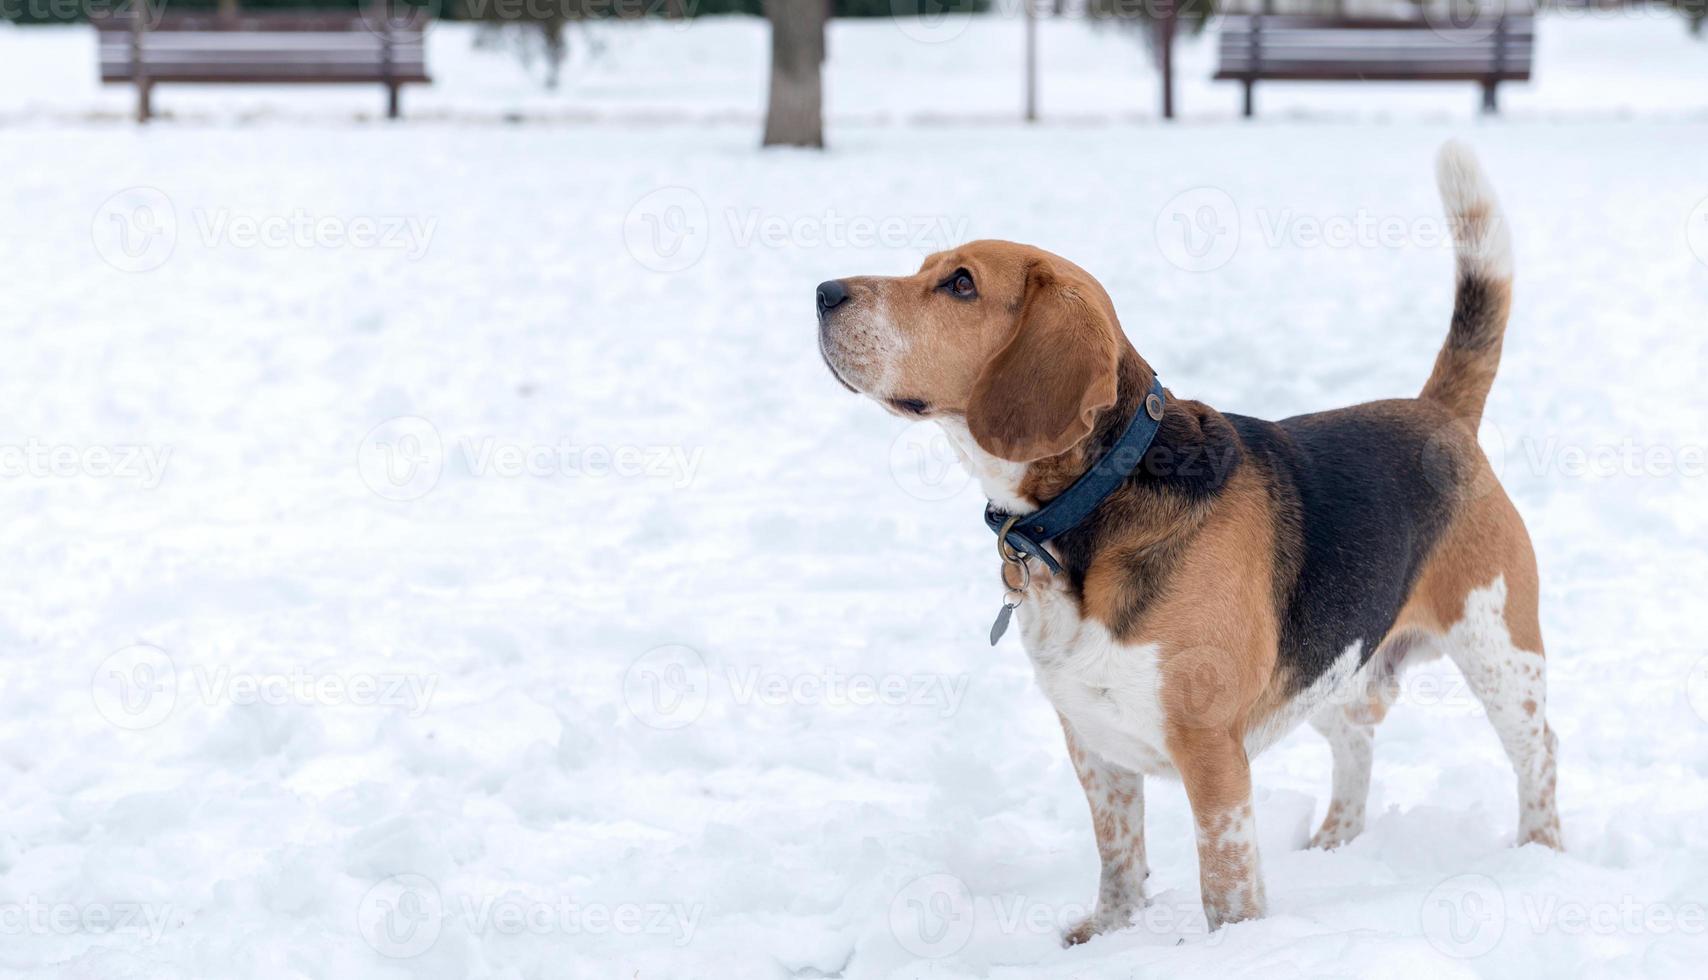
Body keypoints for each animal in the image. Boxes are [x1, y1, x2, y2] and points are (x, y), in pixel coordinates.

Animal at [813, 144, 1564, 935]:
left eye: (960, 284)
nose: (824, 292)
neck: (1095, 500)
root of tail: (1438, 413)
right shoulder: (1093, 742)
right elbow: (1118, 855)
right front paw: (1108, 934)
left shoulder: (1211, 750)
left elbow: (1224, 883)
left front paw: (1234, 944)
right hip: (1337, 664)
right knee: (1358, 742)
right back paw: (1333, 844)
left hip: (1501, 654)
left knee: (1539, 752)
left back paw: (1540, 852)